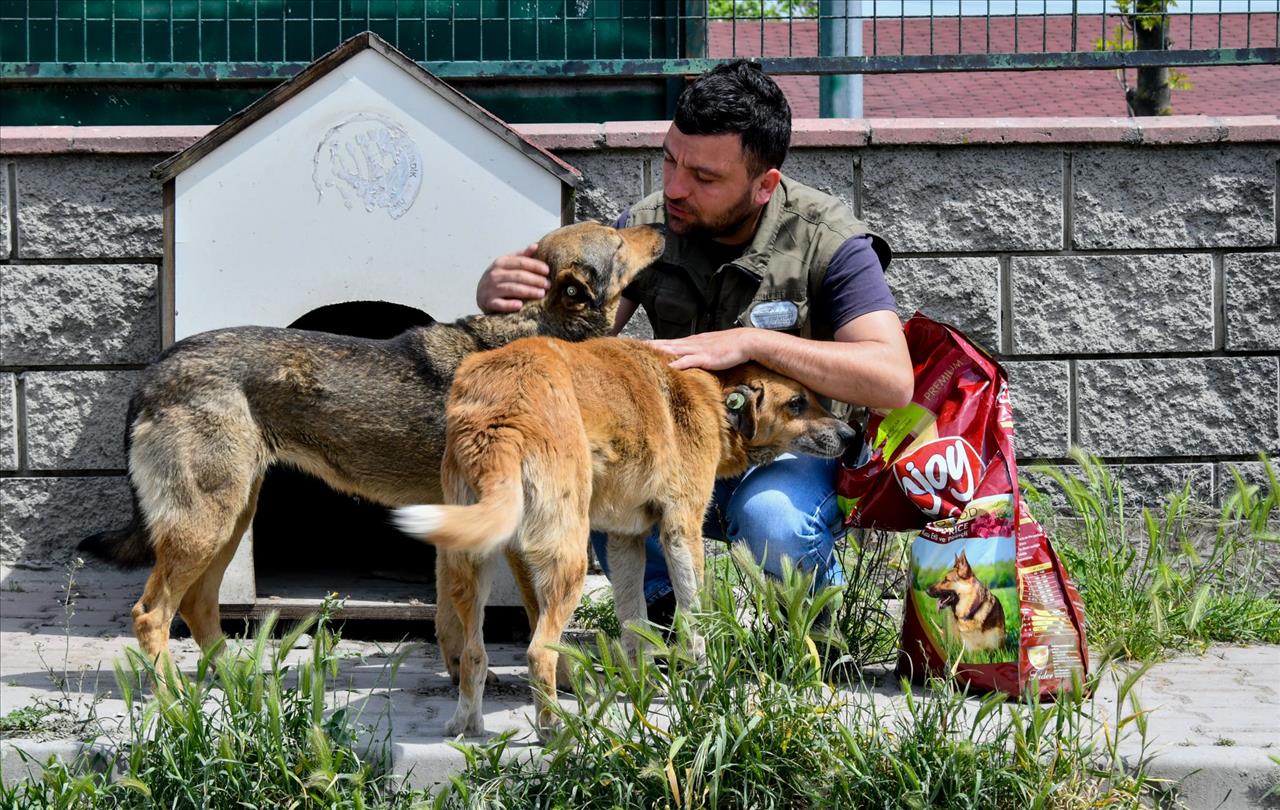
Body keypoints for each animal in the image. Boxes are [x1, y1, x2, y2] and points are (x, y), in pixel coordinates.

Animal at [77, 217, 670, 660]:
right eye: (618, 239)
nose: (662, 224)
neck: (538, 325)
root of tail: (155, 370)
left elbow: (452, 625)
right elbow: (536, 625)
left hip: (230, 517)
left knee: (198, 606)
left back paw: (234, 688)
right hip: (205, 522)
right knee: (151, 615)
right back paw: (176, 706)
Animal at [394, 332, 855, 737]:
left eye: (815, 396)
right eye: (797, 402)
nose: (852, 436)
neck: (713, 392)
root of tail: (502, 410)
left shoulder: (625, 540)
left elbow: (635, 628)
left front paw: (643, 688)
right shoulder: (681, 529)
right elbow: (695, 623)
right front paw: (703, 689)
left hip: (471, 565)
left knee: (474, 652)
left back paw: (466, 724)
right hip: (568, 559)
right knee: (539, 652)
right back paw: (553, 730)